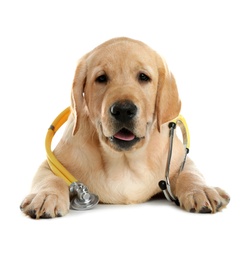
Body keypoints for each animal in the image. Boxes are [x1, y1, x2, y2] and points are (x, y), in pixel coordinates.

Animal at [20, 36, 230, 218]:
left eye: (143, 77)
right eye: (101, 78)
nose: (123, 110)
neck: (125, 160)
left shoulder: (181, 161)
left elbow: (190, 173)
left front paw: (201, 190)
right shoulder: (50, 163)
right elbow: (50, 178)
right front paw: (47, 196)